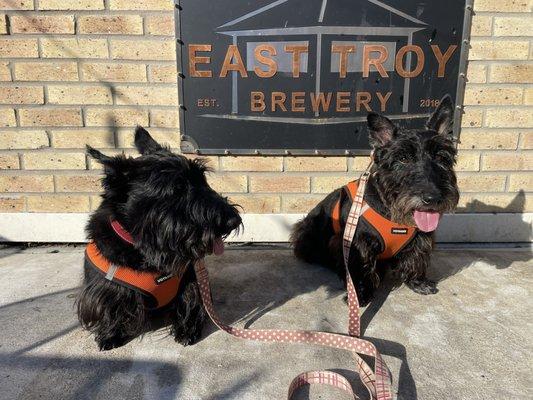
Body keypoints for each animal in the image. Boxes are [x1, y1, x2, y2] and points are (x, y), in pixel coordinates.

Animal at [76, 127, 240, 350]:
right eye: (177, 189)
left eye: (202, 179)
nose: (233, 220)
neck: (149, 249)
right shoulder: (106, 290)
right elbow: (110, 307)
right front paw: (110, 334)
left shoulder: (191, 281)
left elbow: (190, 302)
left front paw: (187, 329)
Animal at [288, 97, 460, 306]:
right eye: (403, 159)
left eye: (441, 157)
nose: (432, 198)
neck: (392, 213)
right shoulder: (357, 244)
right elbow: (360, 269)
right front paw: (360, 293)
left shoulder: (420, 238)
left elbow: (416, 256)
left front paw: (418, 282)